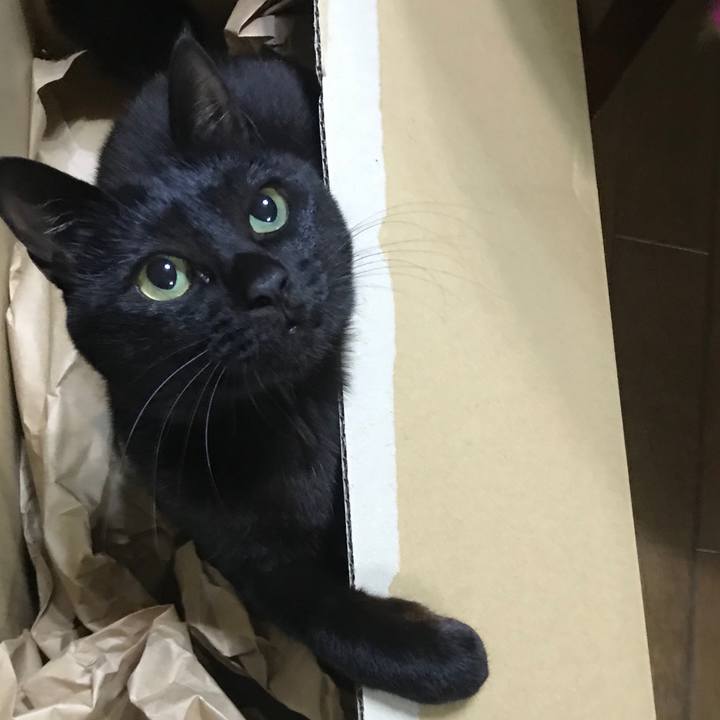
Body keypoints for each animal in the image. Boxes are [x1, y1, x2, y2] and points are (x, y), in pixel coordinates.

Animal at [0, 13, 488, 705]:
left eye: (266, 209)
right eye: (164, 277)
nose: (267, 283)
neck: (286, 415)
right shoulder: (244, 555)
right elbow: (319, 613)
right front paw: (444, 658)